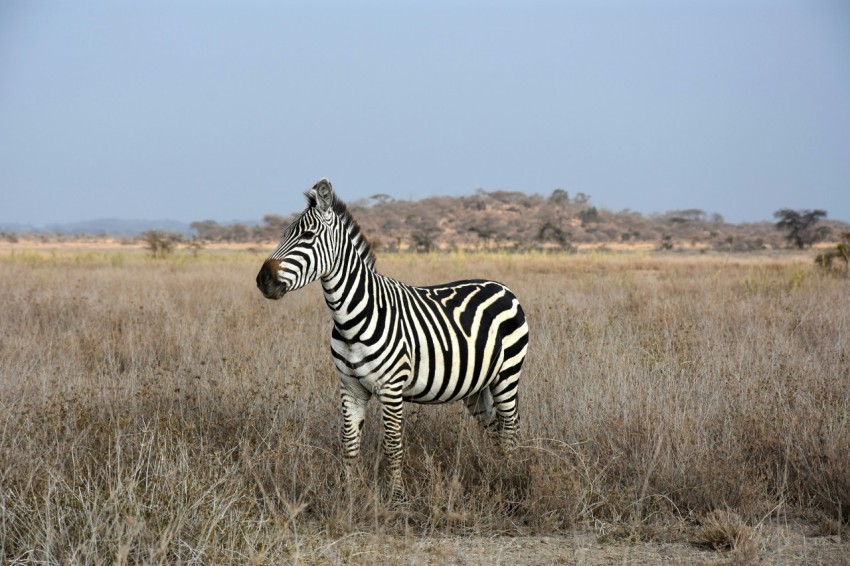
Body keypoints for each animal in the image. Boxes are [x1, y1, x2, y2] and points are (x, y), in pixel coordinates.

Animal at [255, 180, 528, 504]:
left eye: (307, 236)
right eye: (283, 234)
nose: (263, 280)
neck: (351, 319)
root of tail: (502, 286)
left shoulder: (391, 387)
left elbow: (393, 444)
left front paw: (397, 496)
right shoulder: (350, 388)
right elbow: (349, 443)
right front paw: (346, 494)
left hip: (507, 374)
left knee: (510, 427)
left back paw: (510, 477)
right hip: (476, 386)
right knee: (495, 428)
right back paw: (495, 471)